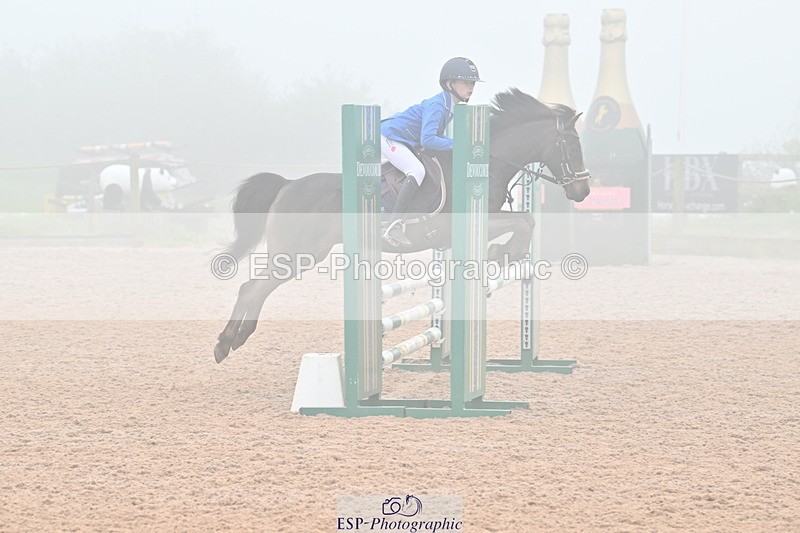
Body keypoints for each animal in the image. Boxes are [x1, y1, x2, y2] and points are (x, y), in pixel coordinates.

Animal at [214, 88, 591, 363]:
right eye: (573, 146)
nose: (583, 191)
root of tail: (288, 184)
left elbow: (525, 220)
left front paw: (502, 254)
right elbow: (524, 221)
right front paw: (503, 253)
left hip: (302, 254)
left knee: (255, 288)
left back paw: (236, 338)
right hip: (297, 253)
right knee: (251, 288)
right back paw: (225, 343)